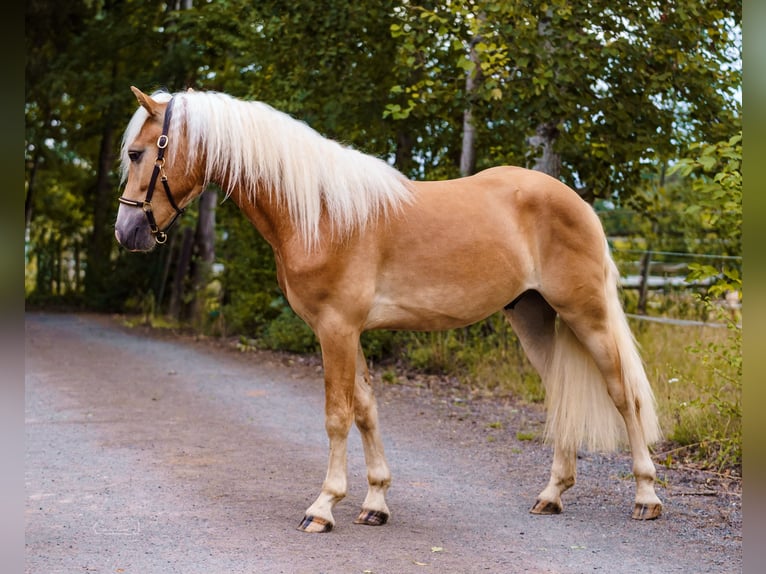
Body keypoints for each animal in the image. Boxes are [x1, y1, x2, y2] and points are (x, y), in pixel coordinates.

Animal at [115, 87, 663, 533]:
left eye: (139, 153)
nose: (127, 232)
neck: (320, 212)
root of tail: (579, 203)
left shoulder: (336, 329)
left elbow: (338, 415)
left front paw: (323, 507)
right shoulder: (347, 331)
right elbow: (365, 409)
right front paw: (375, 502)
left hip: (586, 314)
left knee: (624, 396)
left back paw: (646, 496)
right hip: (532, 317)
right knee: (562, 394)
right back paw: (552, 494)